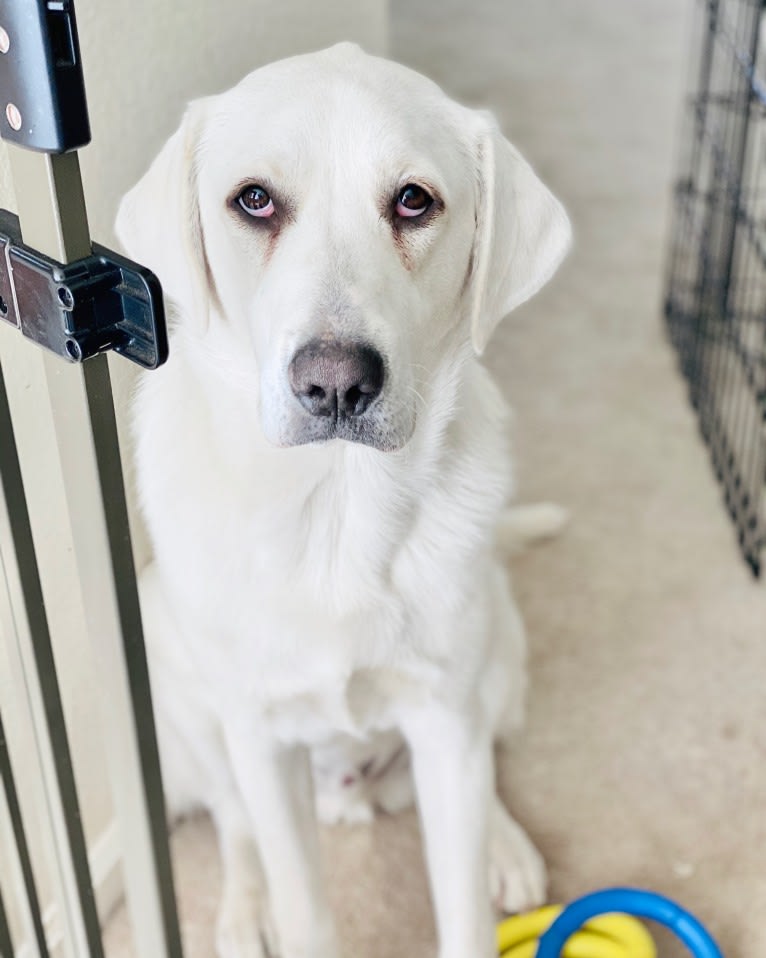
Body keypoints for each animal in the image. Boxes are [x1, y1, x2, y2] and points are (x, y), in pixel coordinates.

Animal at [117, 43, 572, 958]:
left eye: (414, 200)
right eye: (254, 199)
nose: (335, 382)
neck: (336, 515)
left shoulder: (446, 721)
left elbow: (463, 908)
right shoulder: (258, 739)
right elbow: (299, 900)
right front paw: (271, 909)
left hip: (497, 656)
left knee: (488, 776)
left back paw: (506, 845)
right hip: (187, 696)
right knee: (233, 822)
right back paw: (241, 910)